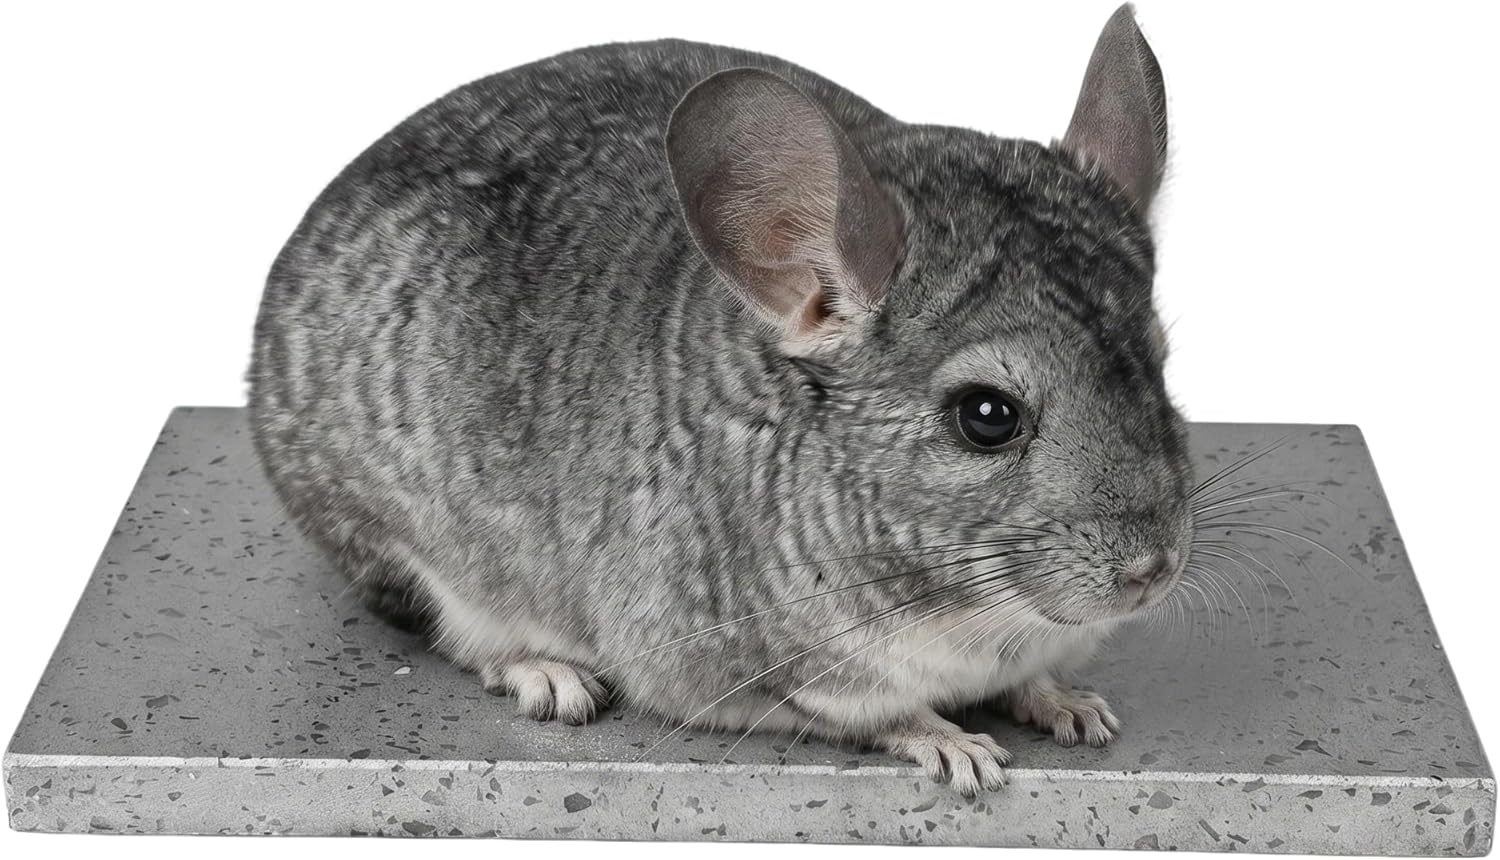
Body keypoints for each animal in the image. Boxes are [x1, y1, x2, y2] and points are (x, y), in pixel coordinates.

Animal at [248, 3, 1193, 796]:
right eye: (986, 416)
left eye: (1159, 364)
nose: (1153, 571)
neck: (982, 618)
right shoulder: (724, 657)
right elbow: (873, 713)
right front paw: (957, 750)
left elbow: (1034, 681)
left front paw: (1069, 703)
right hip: (399, 540)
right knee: (454, 634)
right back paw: (547, 674)